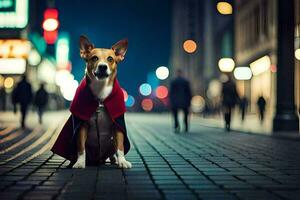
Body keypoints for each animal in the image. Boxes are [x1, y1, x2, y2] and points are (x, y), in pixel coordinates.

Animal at [72, 36, 132, 169]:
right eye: (94, 58)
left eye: (110, 59)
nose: (103, 66)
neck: (100, 96)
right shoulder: (82, 126)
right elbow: (80, 147)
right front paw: (80, 162)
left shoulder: (117, 125)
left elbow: (120, 146)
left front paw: (123, 161)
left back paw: (115, 159)